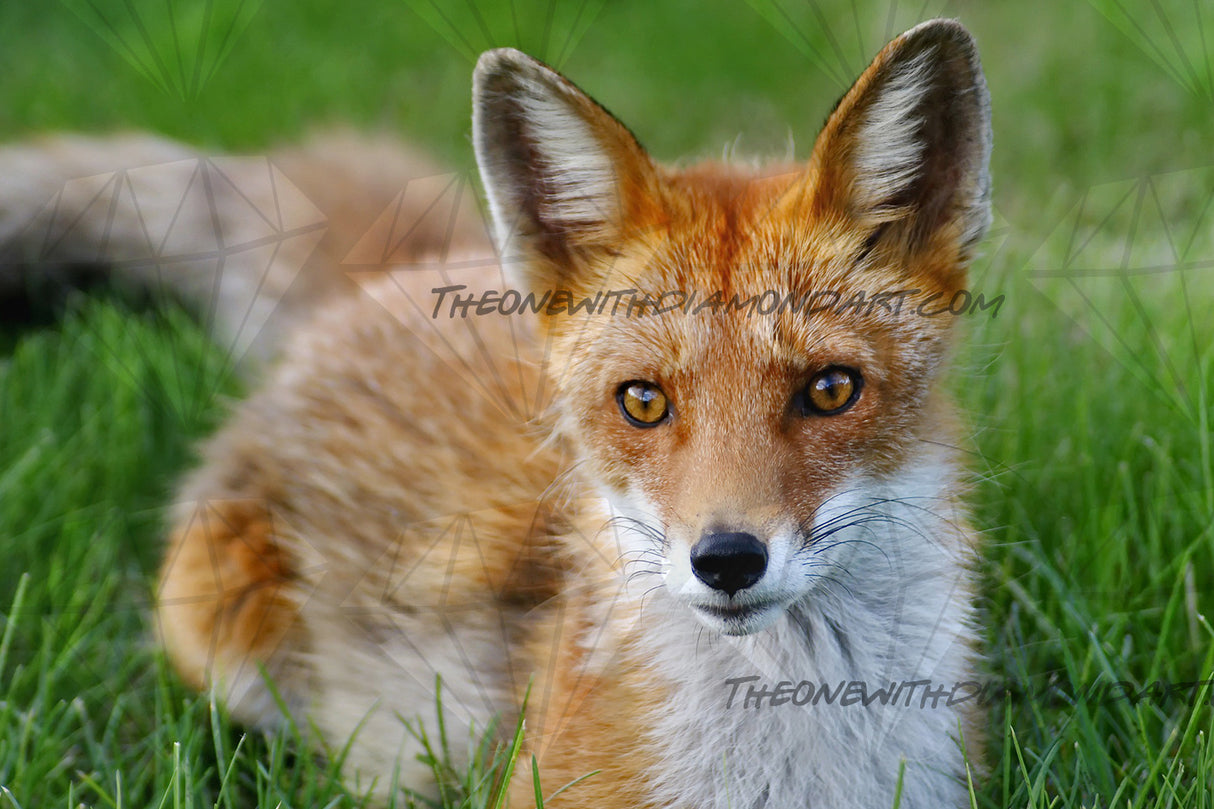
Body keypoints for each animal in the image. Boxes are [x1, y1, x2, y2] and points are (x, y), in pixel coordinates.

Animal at [0, 17, 992, 809]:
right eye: (643, 401)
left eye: (830, 390)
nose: (727, 560)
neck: (792, 753)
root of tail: (388, 283)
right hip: (212, 629)